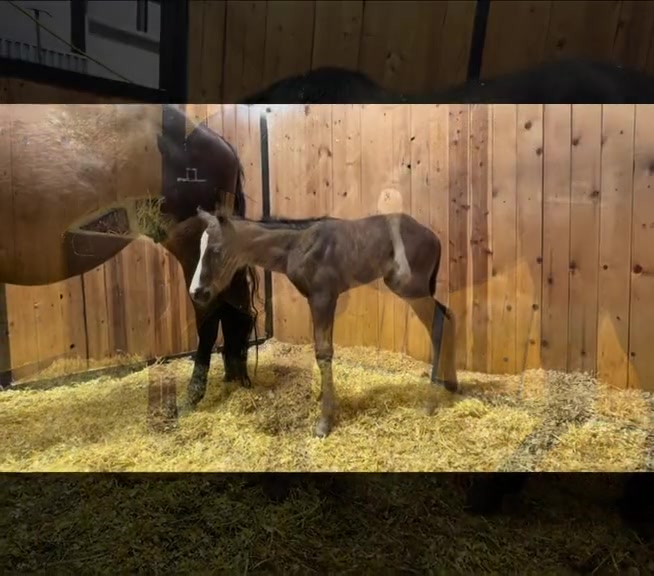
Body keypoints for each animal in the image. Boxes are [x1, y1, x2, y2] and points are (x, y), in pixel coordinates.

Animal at [188, 207, 458, 438]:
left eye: (216, 250)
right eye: (199, 249)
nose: (196, 292)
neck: (296, 246)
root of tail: (433, 237)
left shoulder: (324, 297)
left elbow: (324, 352)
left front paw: (324, 422)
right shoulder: (314, 299)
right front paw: (322, 399)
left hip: (410, 289)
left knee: (438, 324)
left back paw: (432, 401)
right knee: (448, 317)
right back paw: (450, 384)